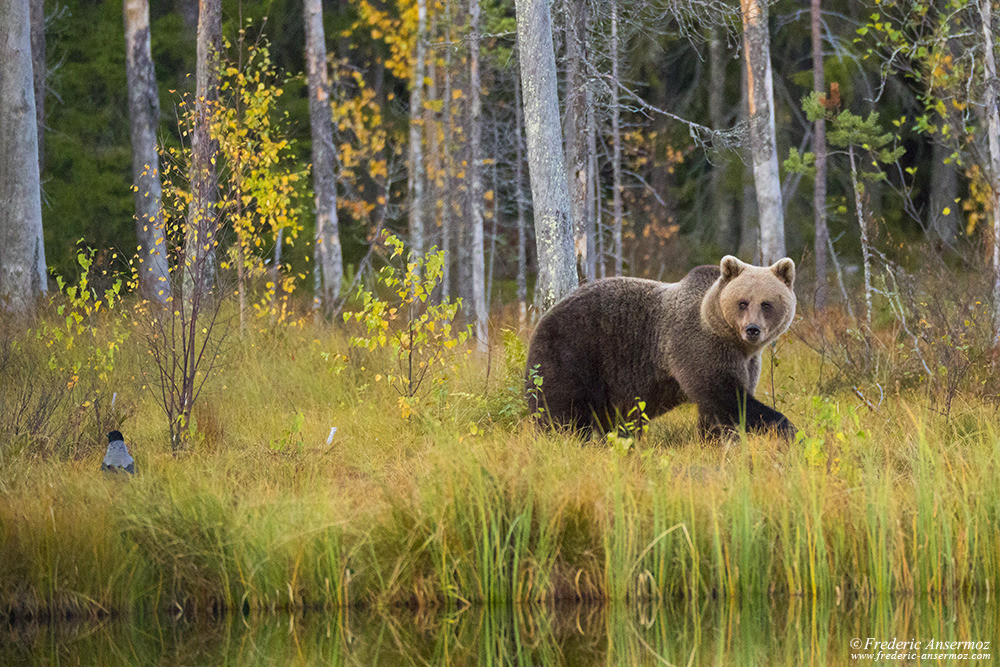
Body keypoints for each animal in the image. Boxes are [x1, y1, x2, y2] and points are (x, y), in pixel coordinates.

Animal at [524, 256, 796, 438]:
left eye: (766, 303)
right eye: (742, 302)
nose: (752, 329)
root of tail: (541, 319)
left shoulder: (746, 361)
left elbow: (720, 409)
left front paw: (715, 438)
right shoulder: (696, 345)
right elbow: (724, 395)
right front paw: (787, 428)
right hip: (573, 351)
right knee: (561, 410)